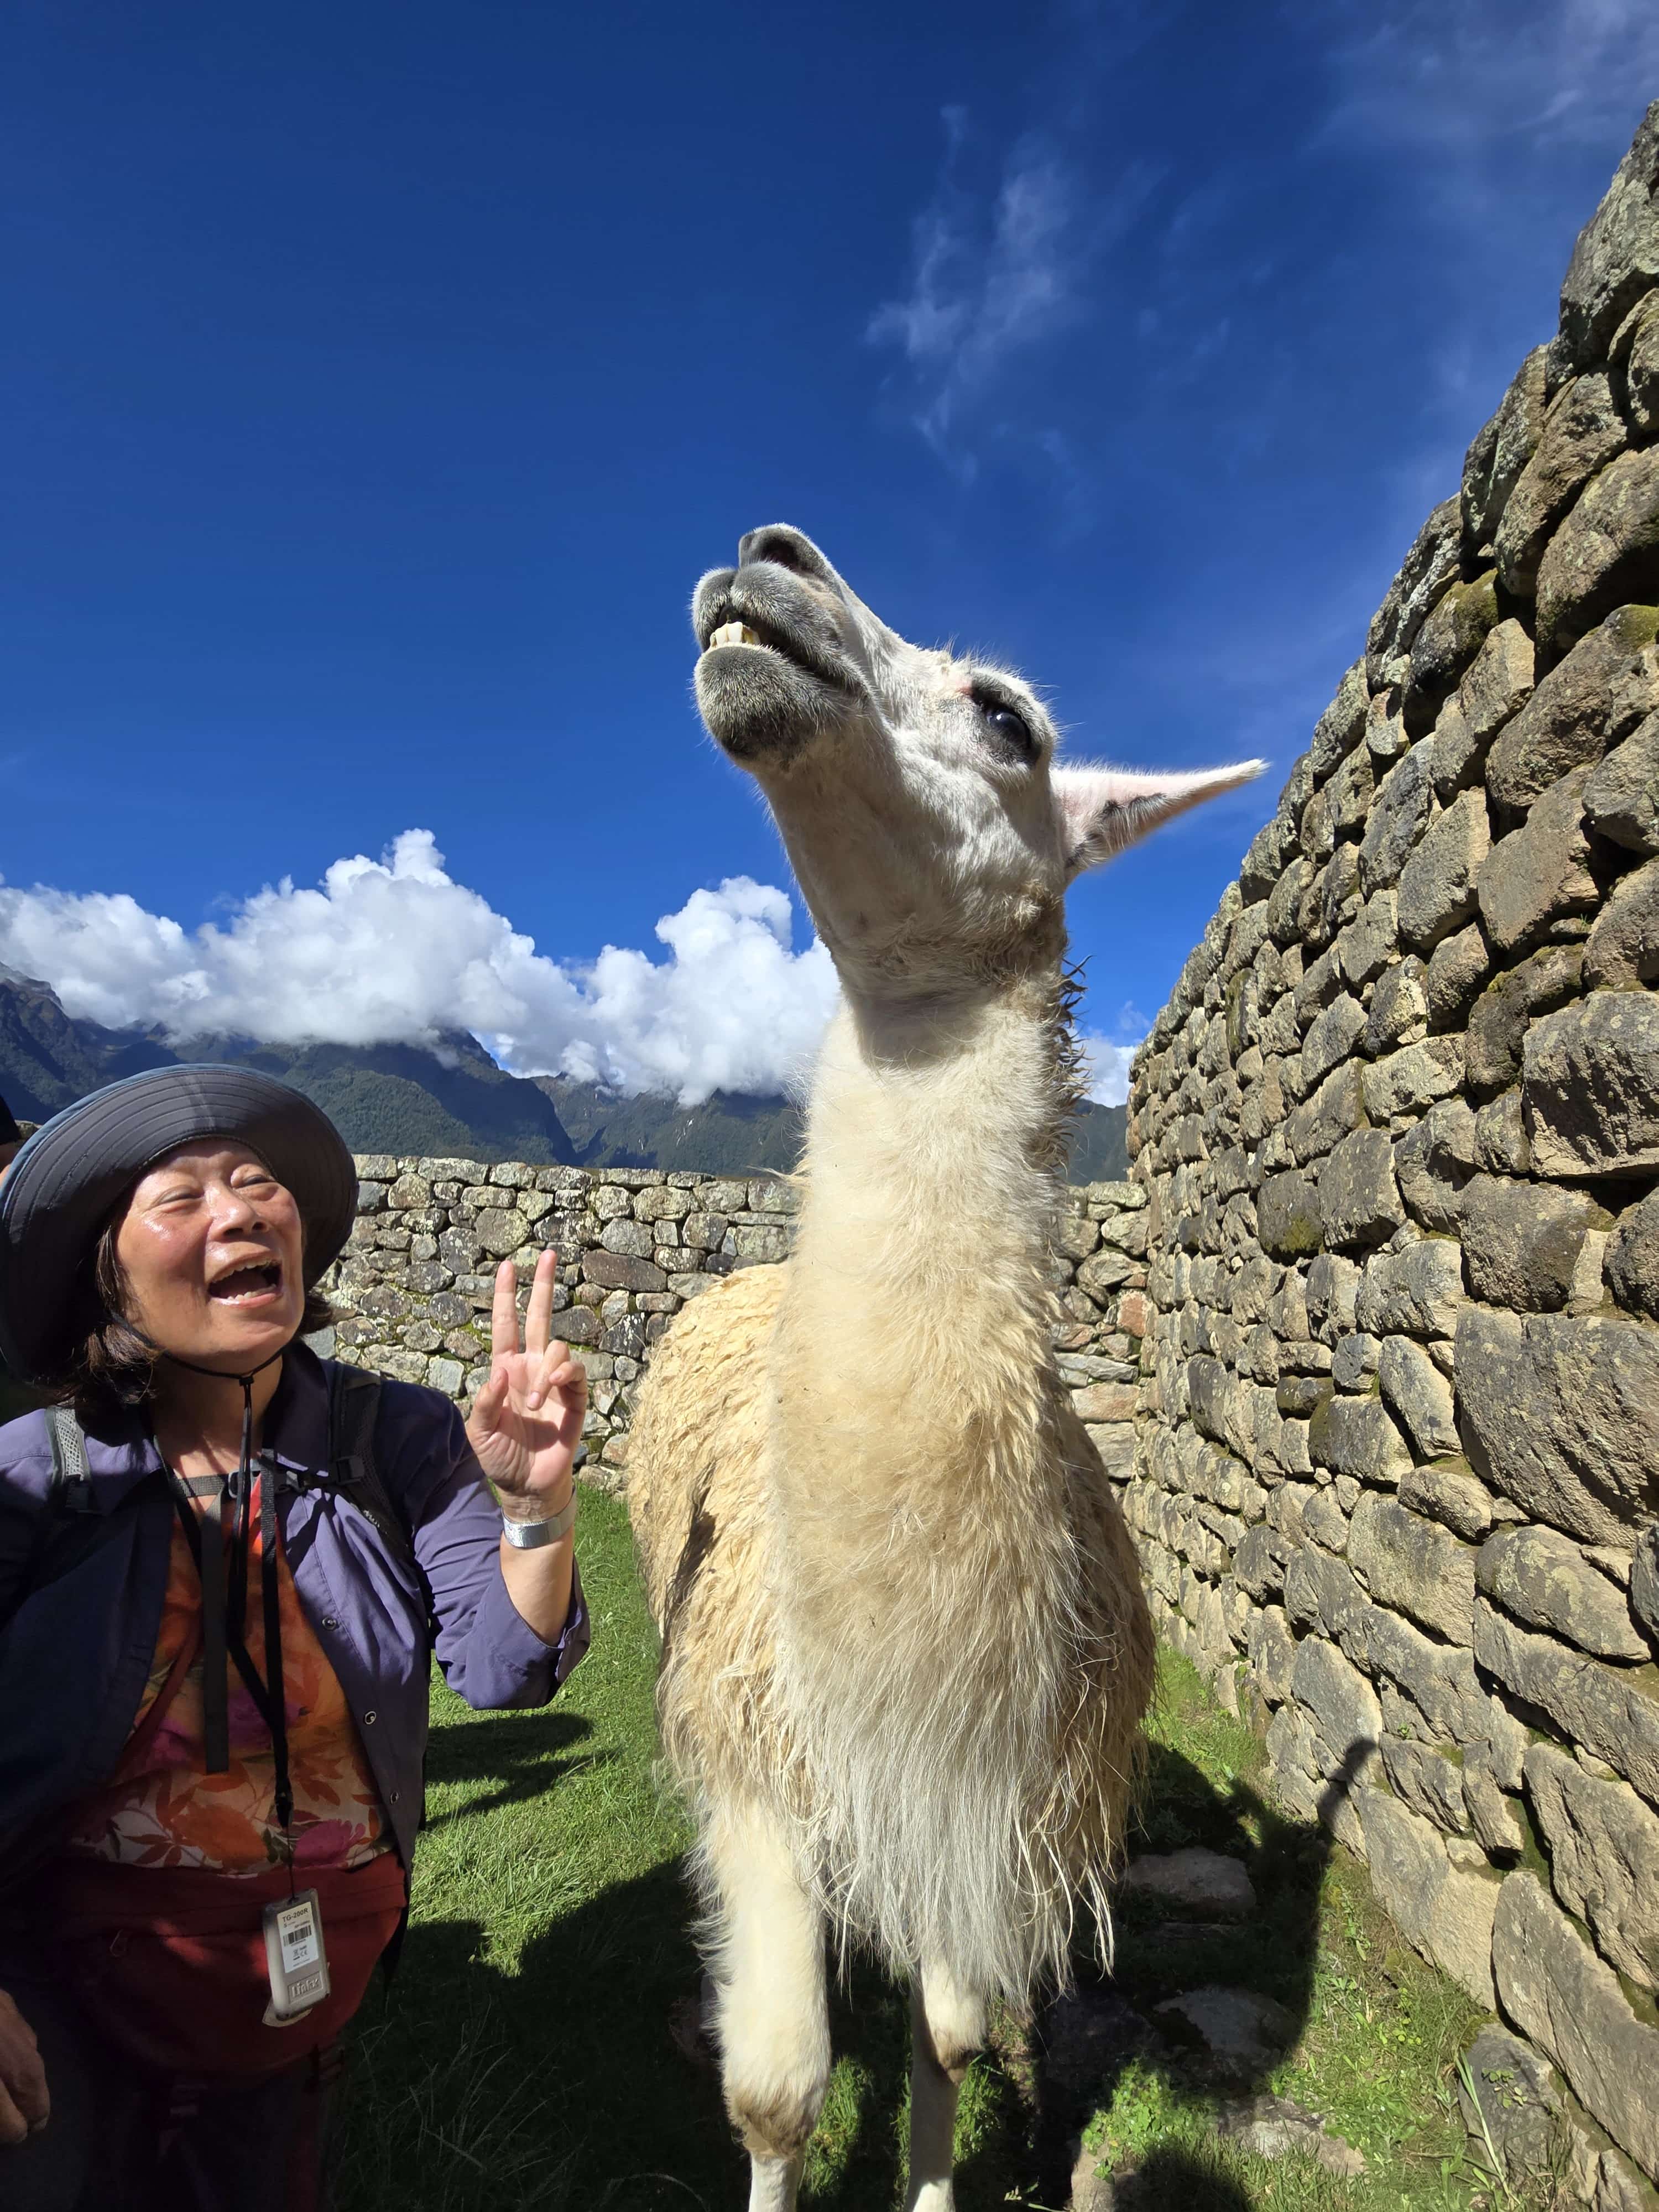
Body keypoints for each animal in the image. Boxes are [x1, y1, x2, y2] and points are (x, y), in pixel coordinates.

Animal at [627, 525, 1263, 2212]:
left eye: (1006, 719)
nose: (766, 559)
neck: (903, 1678)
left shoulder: (997, 1815)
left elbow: (957, 2037)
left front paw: (925, 2181)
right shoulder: (757, 1763)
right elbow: (780, 2087)